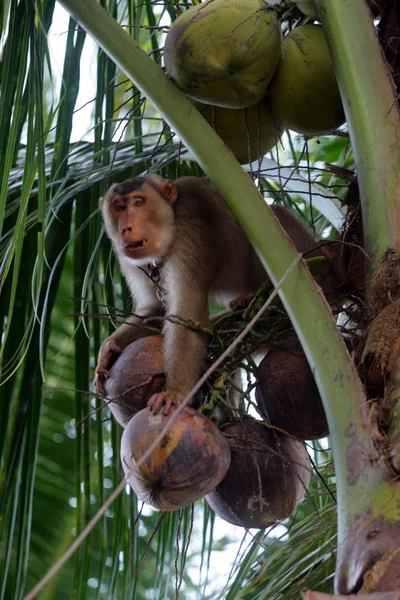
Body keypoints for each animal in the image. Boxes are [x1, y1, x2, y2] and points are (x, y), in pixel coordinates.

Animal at [94, 176, 332, 414]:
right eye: (119, 208)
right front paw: (107, 350)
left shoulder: (190, 225)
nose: (126, 228)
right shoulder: (129, 258)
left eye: (139, 202)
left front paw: (176, 392)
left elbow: (186, 312)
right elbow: (155, 309)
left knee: (275, 217)